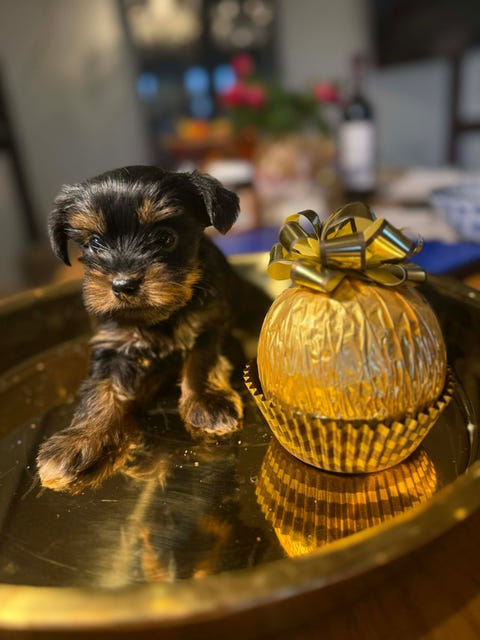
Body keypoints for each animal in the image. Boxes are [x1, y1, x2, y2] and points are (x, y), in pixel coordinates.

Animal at [37, 166, 271, 492]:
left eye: (164, 238)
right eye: (95, 243)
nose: (123, 284)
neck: (160, 317)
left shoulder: (212, 325)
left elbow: (202, 360)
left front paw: (208, 402)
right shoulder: (112, 343)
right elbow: (101, 389)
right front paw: (80, 439)